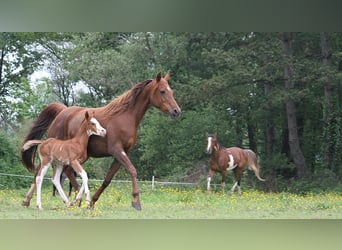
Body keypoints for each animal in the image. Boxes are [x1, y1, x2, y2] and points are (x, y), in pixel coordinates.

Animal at [20, 72, 182, 211]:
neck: (125, 117)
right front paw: (136, 202)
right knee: (40, 173)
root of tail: (62, 111)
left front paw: (92, 201)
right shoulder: (117, 151)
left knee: (65, 173)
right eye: (162, 91)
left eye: (172, 91)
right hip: (55, 154)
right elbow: (133, 170)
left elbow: (107, 180)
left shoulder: (121, 154)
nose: (176, 111)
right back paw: (32, 200)